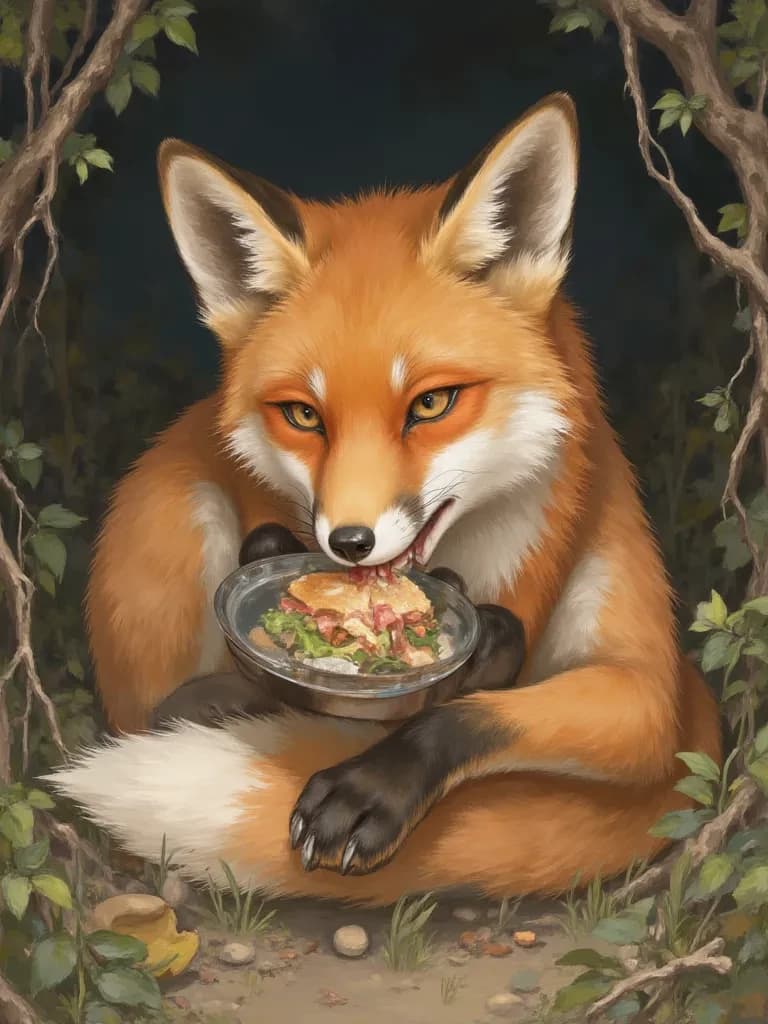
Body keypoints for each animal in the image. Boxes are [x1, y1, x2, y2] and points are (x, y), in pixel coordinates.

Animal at [46, 93, 722, 905]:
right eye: (303, 415)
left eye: (431, 404)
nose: (349, 544)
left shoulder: (648, 692)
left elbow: (475, 716)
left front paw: (372, 785)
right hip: (179, 511)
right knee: (156, 705)